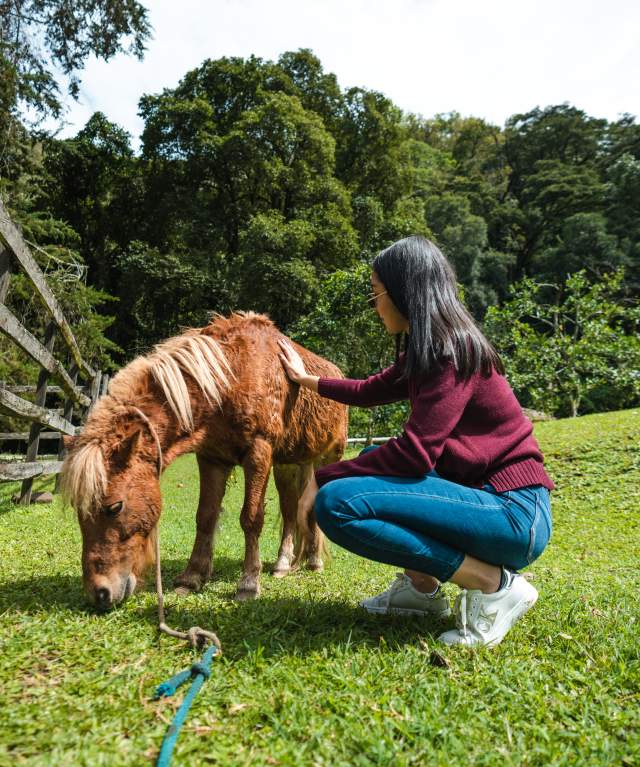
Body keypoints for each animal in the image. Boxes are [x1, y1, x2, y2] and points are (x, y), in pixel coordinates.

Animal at [61, 312, 347, 609]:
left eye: (115, 507)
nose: (99, 593)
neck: (231, 375)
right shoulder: (212, 459)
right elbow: (205, 516)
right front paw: (192, 577)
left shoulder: (258, 453)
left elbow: (251, 518)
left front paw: (248, 583)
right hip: (288, 465)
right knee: (291, 511)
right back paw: (283, 563)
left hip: (326, 458)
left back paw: (314, 561)